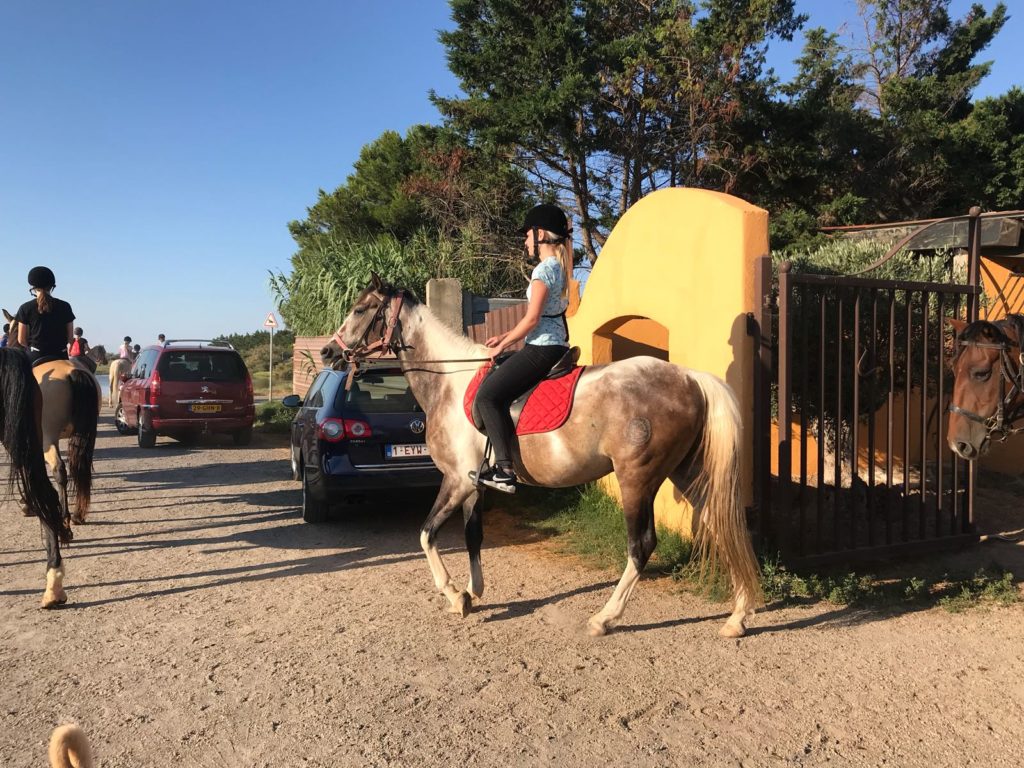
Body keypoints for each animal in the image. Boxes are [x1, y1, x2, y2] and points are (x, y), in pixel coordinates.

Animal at [3, 309, 100, 528]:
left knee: (59, 470)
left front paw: (27, 504)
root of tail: (73, 372)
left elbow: (25, 467)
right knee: (79, 467)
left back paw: (64, 516)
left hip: (48, 438)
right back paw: (78, 514)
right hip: (86, 435)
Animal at [319, 276, 761, 638]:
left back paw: (604, 619)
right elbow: (472, 536)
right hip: (686, 472)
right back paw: (737, 618)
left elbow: (427, 534)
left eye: (360, 309)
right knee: (723, 526)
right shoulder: (473, 484)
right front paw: (473, 592)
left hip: (637, 478)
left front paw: (455, 596)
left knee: (641, 545)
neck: (448, 381)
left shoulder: (457, 480)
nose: (327, 352)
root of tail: (689, 377)